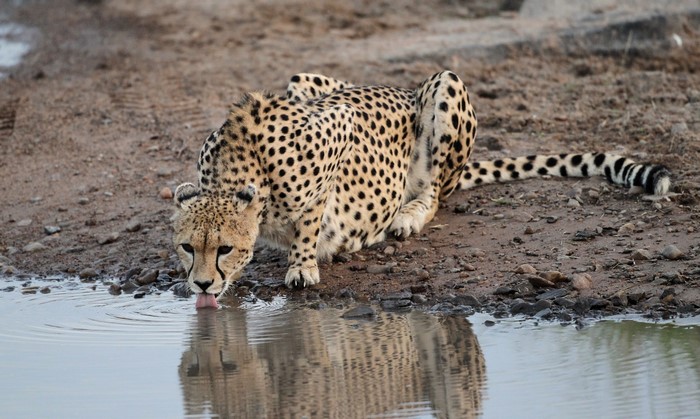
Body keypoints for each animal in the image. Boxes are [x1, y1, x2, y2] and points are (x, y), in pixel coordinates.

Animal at [171, 71, 671, 308]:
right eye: (186, 247)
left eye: (224, 249)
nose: (201, 284)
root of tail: (405, 88)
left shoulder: (339, 126)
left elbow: (313, 215)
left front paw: (304, 263)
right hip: (301, 81)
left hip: (445, 88)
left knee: (434, 193)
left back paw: (406, 216)